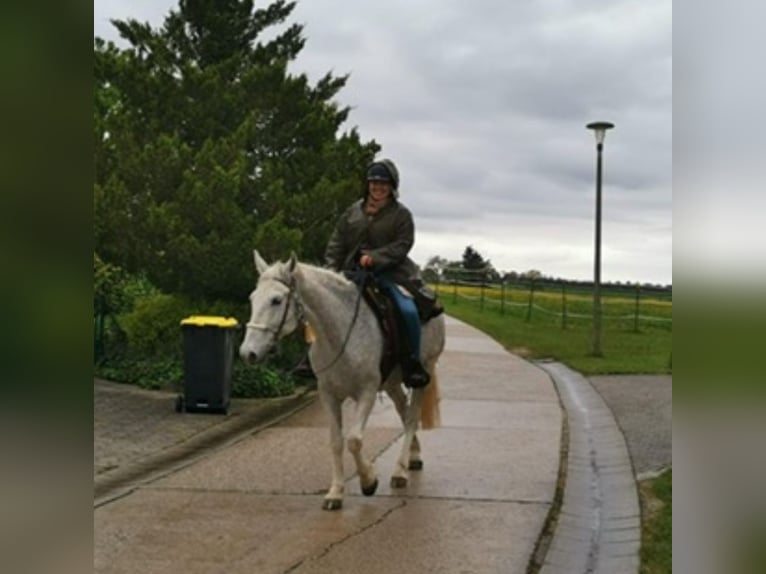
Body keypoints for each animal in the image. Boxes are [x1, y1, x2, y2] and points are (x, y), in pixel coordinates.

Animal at [237, 250, 448, 510]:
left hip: (422, 374)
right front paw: (336, 492)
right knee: (403, 410)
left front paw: (369, 481)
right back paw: (414, 456)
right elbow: (336, 442)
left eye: (276, 300)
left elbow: (354, 440)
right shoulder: (329, 395)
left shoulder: (366, 393)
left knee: (410, 418)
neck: (340, 333)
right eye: (252, 298)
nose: (248, 353)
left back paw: (400, 471)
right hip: (391, 383)